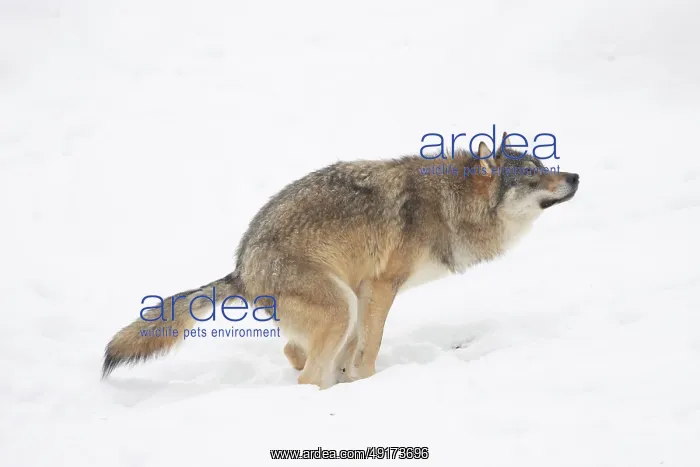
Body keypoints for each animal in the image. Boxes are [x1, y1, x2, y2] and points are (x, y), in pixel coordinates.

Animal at [102, 132, 579, 389]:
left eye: (544, 162)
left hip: (344, 302)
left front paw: (353, 379)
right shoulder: (382, 286)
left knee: (294, 350)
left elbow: (358, 347)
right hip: (340, 306)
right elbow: (372, 344)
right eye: (533, 174)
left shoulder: (367, 288)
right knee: (305, 373)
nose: (575, 176)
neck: (450, 204)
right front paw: (367, 382)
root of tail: (241, 269)